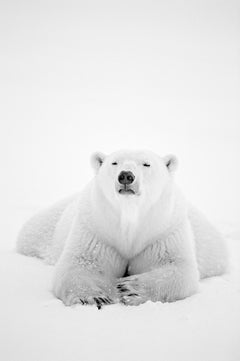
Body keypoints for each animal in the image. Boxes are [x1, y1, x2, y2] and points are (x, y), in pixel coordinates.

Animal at [17, 149, 229, 306]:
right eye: (114, 163)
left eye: (146, 164)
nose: (126, 176)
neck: (129, 220)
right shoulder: (96, 230)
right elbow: (80, 263)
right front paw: (94, 297)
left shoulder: (164, 232)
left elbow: (178, 268)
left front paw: (129, 288)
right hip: (47, 226)